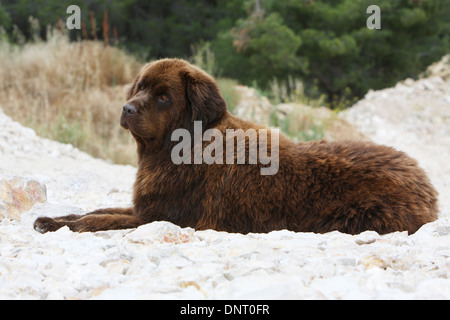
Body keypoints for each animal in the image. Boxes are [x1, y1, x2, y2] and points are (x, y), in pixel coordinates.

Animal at [35, 57, 440, 234]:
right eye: (140, 87)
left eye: (164, 97)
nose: (127, 108)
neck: (184, 145)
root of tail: (425, 181)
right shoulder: (144, 207)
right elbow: (94, 209)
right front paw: (52, 219)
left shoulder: (161, 215)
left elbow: (98, 219)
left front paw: (59, 225)